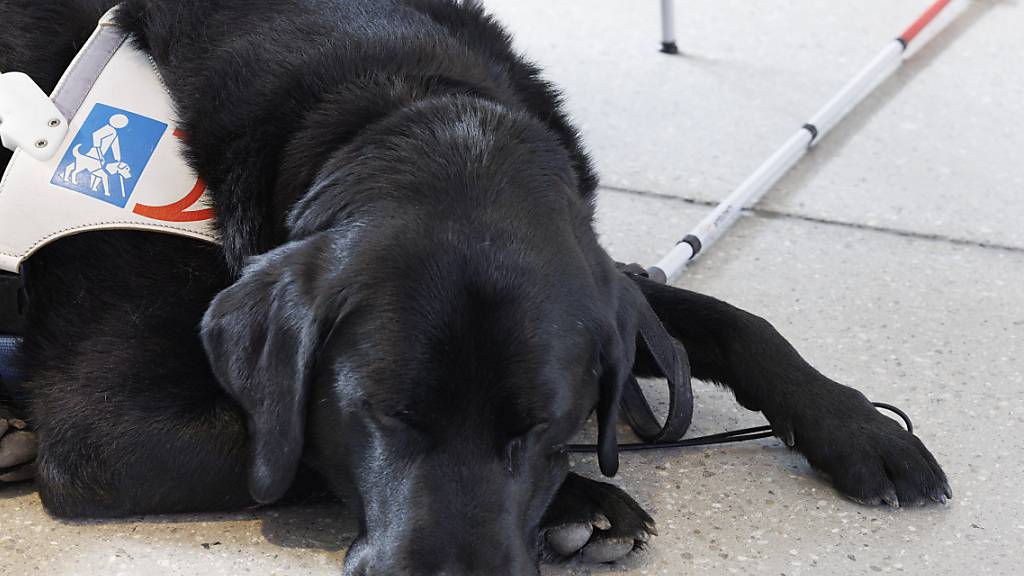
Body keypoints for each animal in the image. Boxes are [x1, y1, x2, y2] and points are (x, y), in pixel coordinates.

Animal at [0, 0, 946, 569]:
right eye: (383, 416)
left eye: (545, 426)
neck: (388, 95)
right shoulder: (108, 431)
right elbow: (295, 445)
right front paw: (583, 500)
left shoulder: (605, 283)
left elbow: (725, 320)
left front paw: (859, 427)